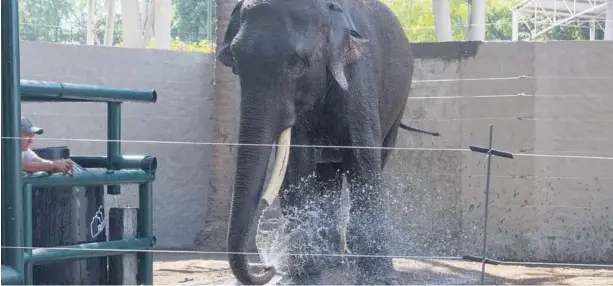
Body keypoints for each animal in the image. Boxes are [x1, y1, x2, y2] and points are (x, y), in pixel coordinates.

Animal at [218, 0, 414, 284]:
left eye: (297, 63)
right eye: (236, 63)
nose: (268, 267)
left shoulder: (359, 79)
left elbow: (362, 160)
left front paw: (381, 279)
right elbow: (298, 161)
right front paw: (301, 275)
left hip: (399, 106)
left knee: (378, 156)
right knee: (327, 174)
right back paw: (330, 260)